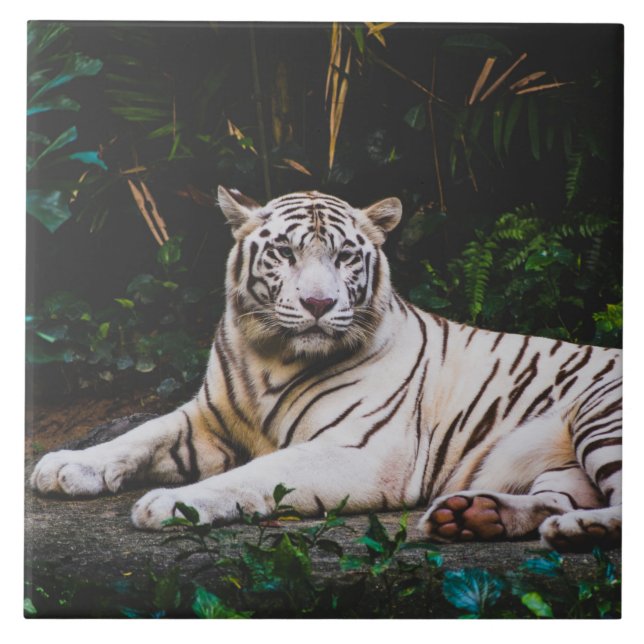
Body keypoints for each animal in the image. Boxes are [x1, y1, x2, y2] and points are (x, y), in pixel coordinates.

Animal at [30, 187, 622, 551]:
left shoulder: (362, 450)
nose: (318, 303)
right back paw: (475, 517)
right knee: (555, 496)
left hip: (602, 414)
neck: (270, 356)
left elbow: (255, 475)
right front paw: (64, 466)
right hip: (560, 465)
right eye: (285, 253)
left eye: (344, 257)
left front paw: (172, 504)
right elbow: (141, 434)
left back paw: (576, 530)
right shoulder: (208, 418)